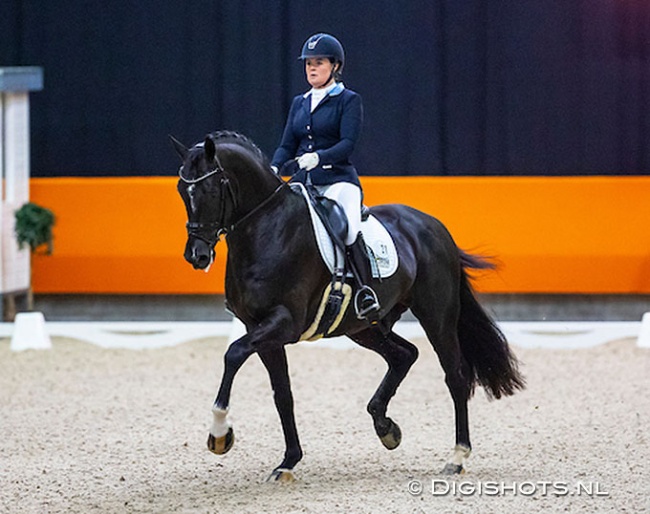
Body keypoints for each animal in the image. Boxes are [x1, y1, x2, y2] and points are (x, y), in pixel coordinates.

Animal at [171, 131, 520, 480]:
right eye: (181, 191)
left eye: (210, 189)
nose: (196, 256)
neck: (267, 228)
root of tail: (432, 225)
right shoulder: (259, 327)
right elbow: (282, 394)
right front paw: (288, 461)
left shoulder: (284, 322)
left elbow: (233, 354)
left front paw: (220, 435)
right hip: (362, 326)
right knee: (404, 355)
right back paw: (386, 428)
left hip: (436, 315)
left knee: (455, 376)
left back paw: (457, 456)